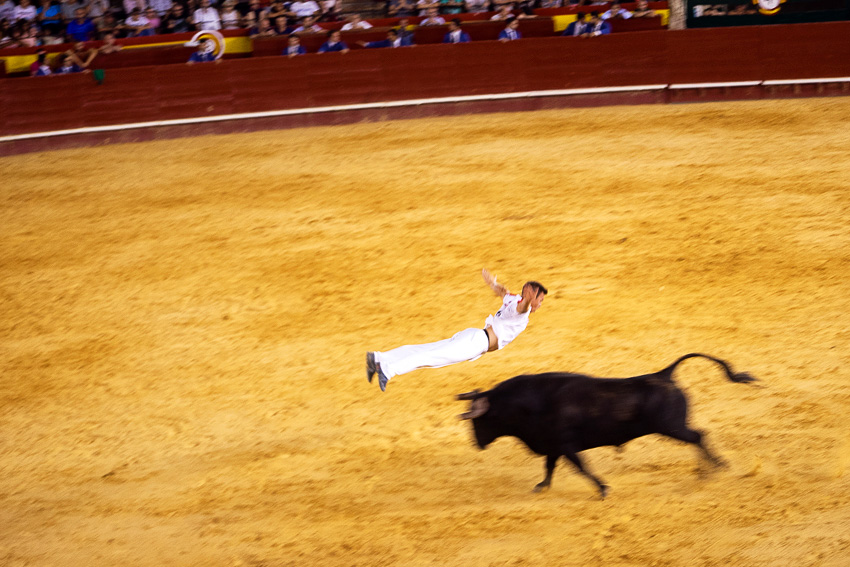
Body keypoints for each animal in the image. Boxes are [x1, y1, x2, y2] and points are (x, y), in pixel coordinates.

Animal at [458, 352, 756, 500]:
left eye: (480, 419)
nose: (476, 443)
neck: (532, 401)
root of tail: (664, 374)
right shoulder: (555, 446)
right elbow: (550, 467)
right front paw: (541, 486)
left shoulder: (566, 445)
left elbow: (581, 467)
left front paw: (602, 489)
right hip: (673, 427)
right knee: (699, 436)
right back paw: (711, 469)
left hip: (672, 428)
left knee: (698, 436)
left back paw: (712, 470)